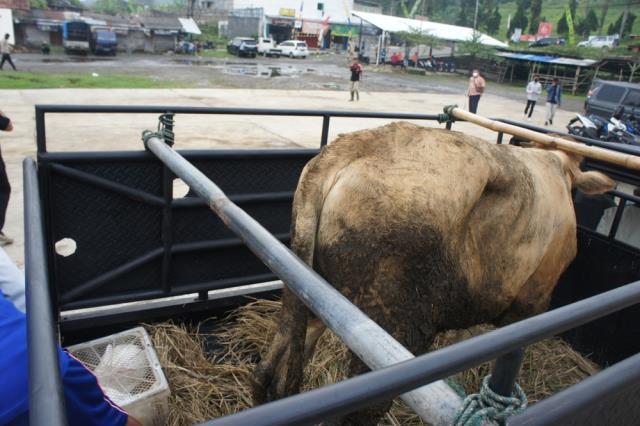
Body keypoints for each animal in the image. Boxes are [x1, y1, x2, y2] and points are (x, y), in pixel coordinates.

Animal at [250, 120, 616, 422]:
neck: (555, 165)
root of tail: (351, 147)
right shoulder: (532, 300)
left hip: (309, 297)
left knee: (269, 369)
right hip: (394, 324)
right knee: (361, 410)